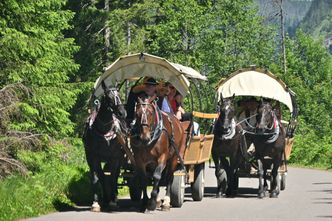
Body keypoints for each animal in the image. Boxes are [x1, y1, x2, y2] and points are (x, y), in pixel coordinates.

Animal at [82, 80, 127, 211]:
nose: (122, 113)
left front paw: (113, 201)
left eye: (119, 95)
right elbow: (96, 178)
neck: (104, 133)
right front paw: (96, 203)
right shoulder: (92, 157)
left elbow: (112, 178)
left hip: (120, 158)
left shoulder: (114, 158)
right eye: (108, 96)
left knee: (115, 176)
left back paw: (114, 197)